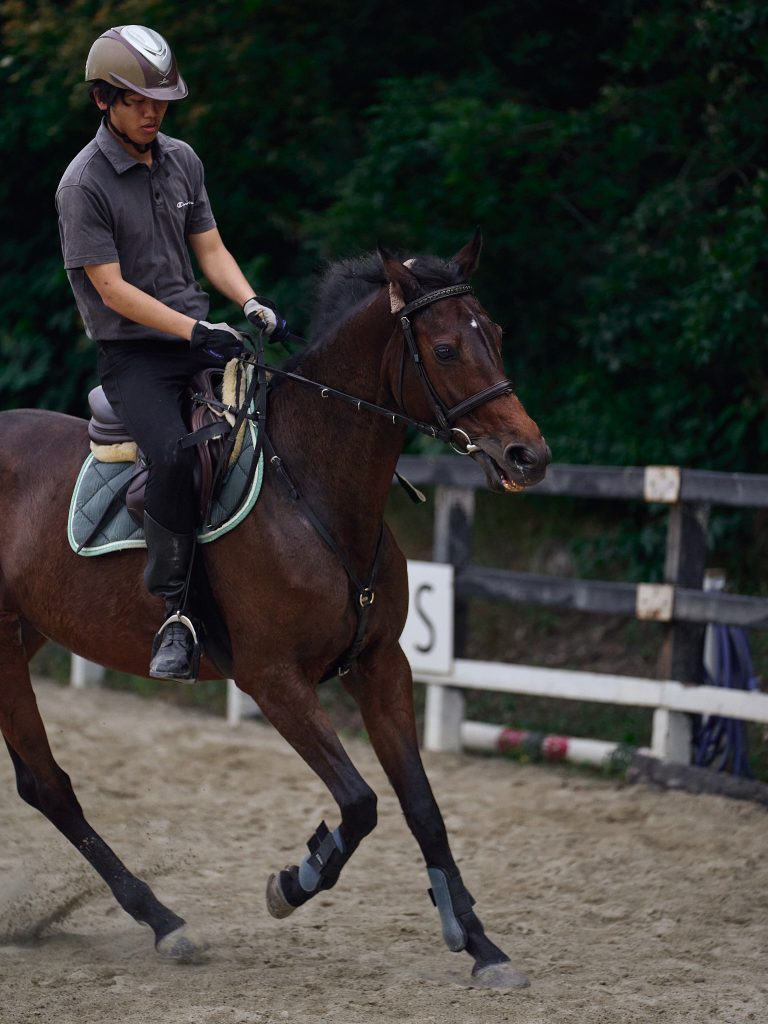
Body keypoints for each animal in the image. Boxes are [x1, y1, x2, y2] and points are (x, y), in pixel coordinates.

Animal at [0, 234, 550, 988]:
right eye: (443, 349)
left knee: (37, 782)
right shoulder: (273, 679)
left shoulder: (381, 667)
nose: (528, 456)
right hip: (3, 644)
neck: (315, 487)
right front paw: (295, 880)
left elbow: (421, 806)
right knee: (49, 785)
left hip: (24, 635)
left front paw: (480, 945)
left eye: (493, 334)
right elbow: (360, 802)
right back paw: (164, 922)